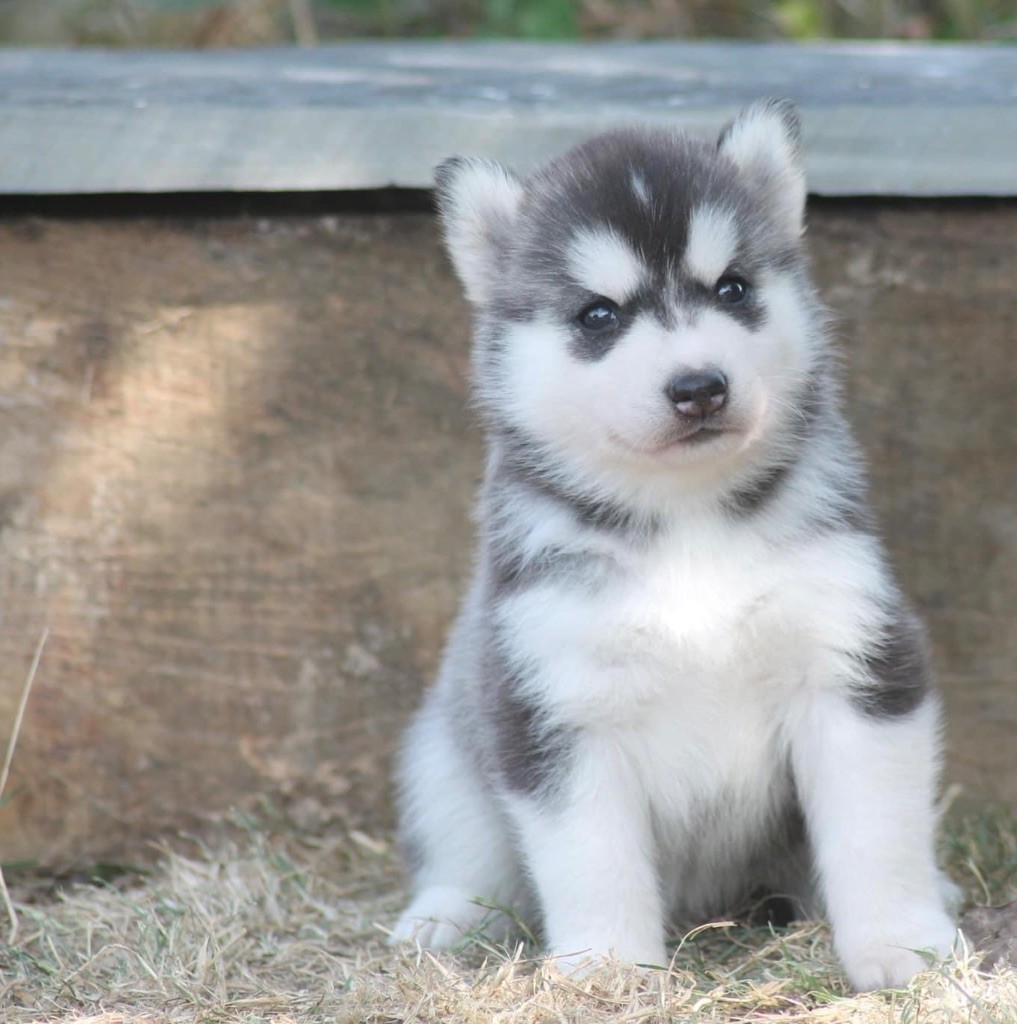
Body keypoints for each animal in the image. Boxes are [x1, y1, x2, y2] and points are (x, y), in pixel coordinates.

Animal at [389, 99, 950, 987]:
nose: (698, 387)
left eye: (732, 288)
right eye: (598, 314)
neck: (687, 523)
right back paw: (445, 917)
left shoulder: (855, 660)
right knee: (466, 847)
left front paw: (900, 944)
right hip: (446, 748)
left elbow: (876, 834)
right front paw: (608, 970)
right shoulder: (554, 704)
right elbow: (593, 859)